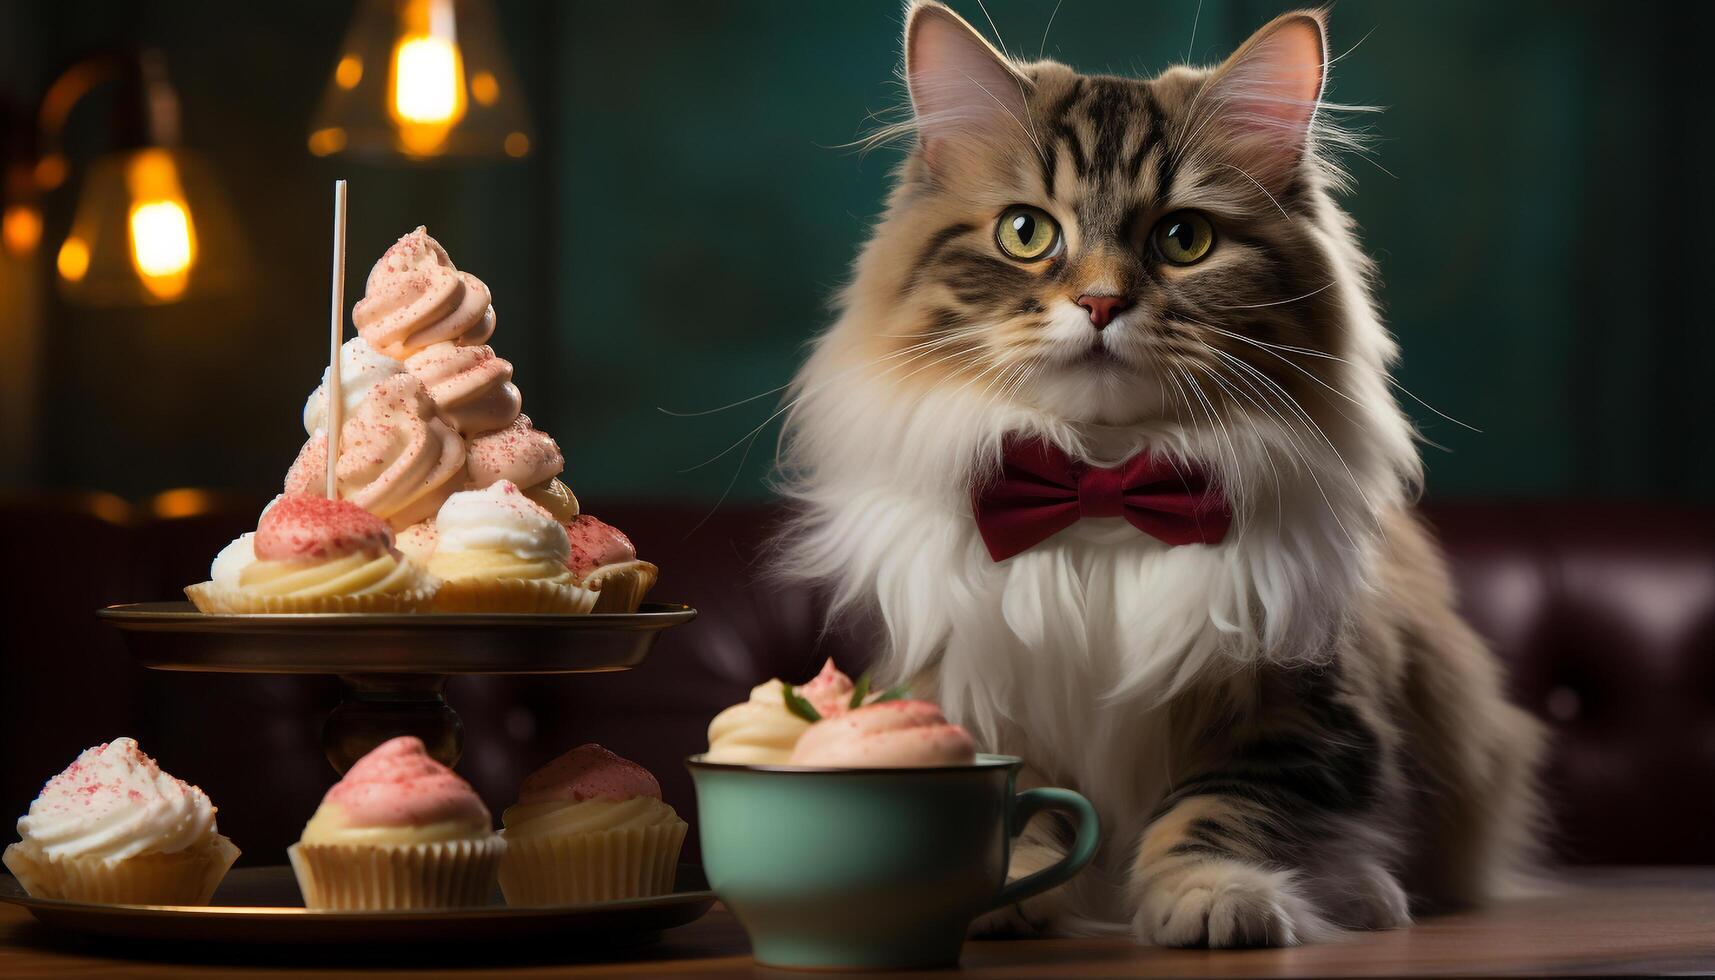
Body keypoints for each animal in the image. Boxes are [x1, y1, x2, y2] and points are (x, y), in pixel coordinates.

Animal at [785, 0, 1550, 954]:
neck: (1104, 485)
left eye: (1183, 240)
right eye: (1026, 232)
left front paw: (1214, 897)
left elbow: (1221, 809)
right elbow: (1019, 800)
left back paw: (1372, 896)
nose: (1101, 303)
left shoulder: (1299, 707)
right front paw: (1011, 889)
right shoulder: (973, 684)